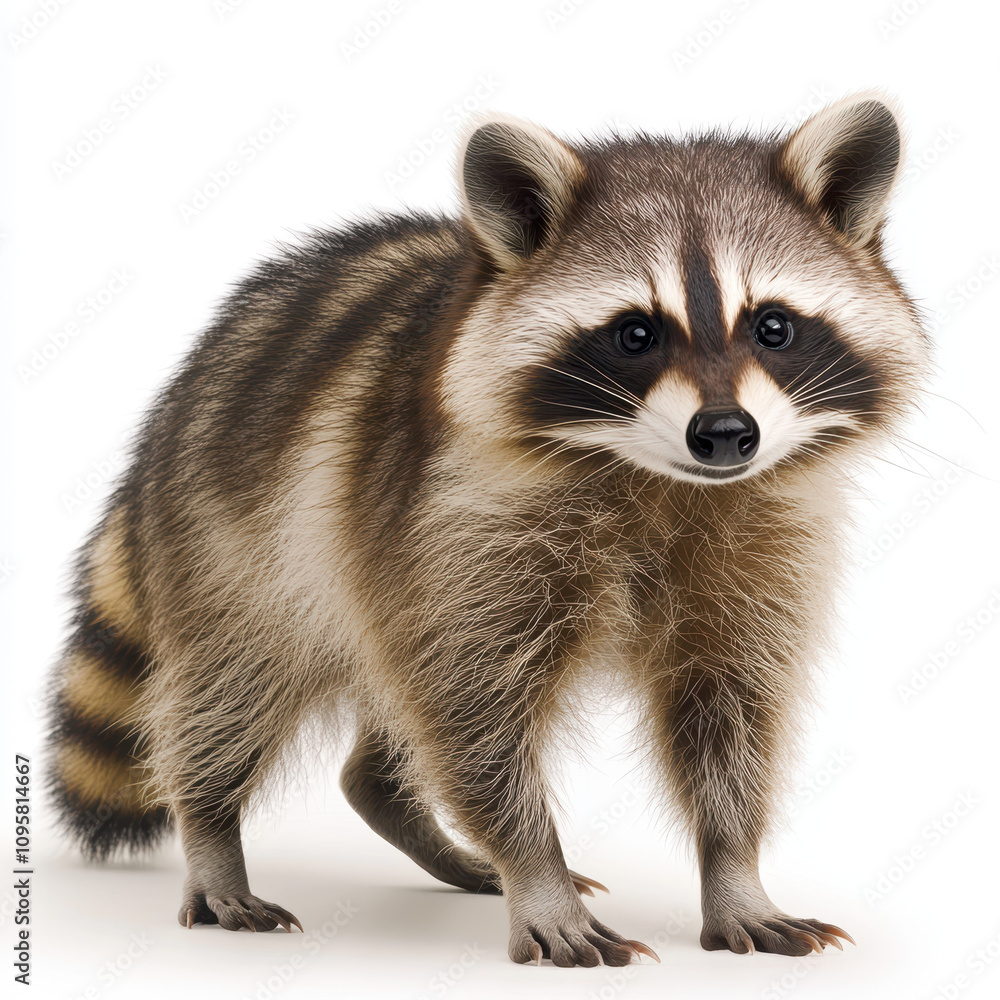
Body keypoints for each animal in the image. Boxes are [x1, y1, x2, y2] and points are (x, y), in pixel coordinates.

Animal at [45, 92, 928, 966]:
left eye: (773, 327)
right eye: (635, 334)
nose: (724, 434)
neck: (661, 479)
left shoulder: (763, 542)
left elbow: (731, 709)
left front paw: (735, 867)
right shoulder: (454, 518)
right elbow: (474, 714)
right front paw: (537, 872)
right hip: (229, 538)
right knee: (233, 684)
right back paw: (212, 829)